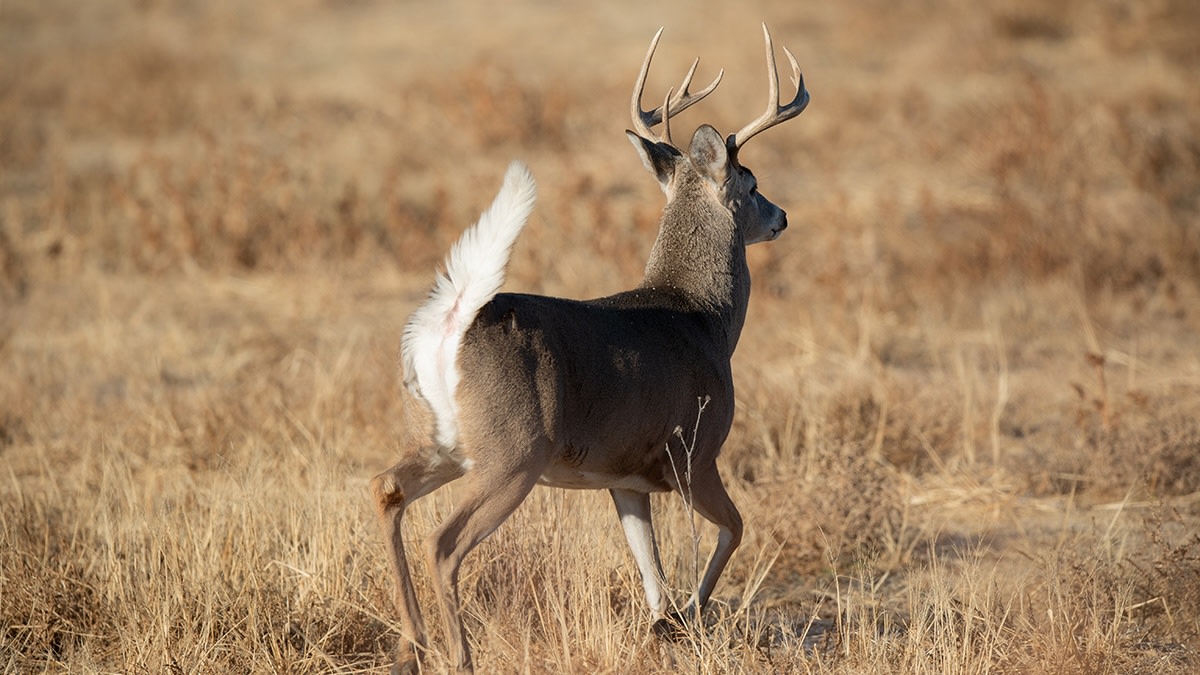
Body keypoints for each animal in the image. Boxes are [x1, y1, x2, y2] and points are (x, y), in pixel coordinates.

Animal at [370, 23, 809, 674]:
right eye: (752, 185)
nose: (781, 216)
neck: (704, 318)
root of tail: (451, 320)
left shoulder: (624, 478)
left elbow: (651, 571)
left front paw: (662, 627)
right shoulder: (694, 453)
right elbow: (734, 530)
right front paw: (690, 617)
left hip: (441, 441)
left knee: (386, 490)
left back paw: (410, 645)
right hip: (513, 454)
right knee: (442, 543)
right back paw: (458, 655)